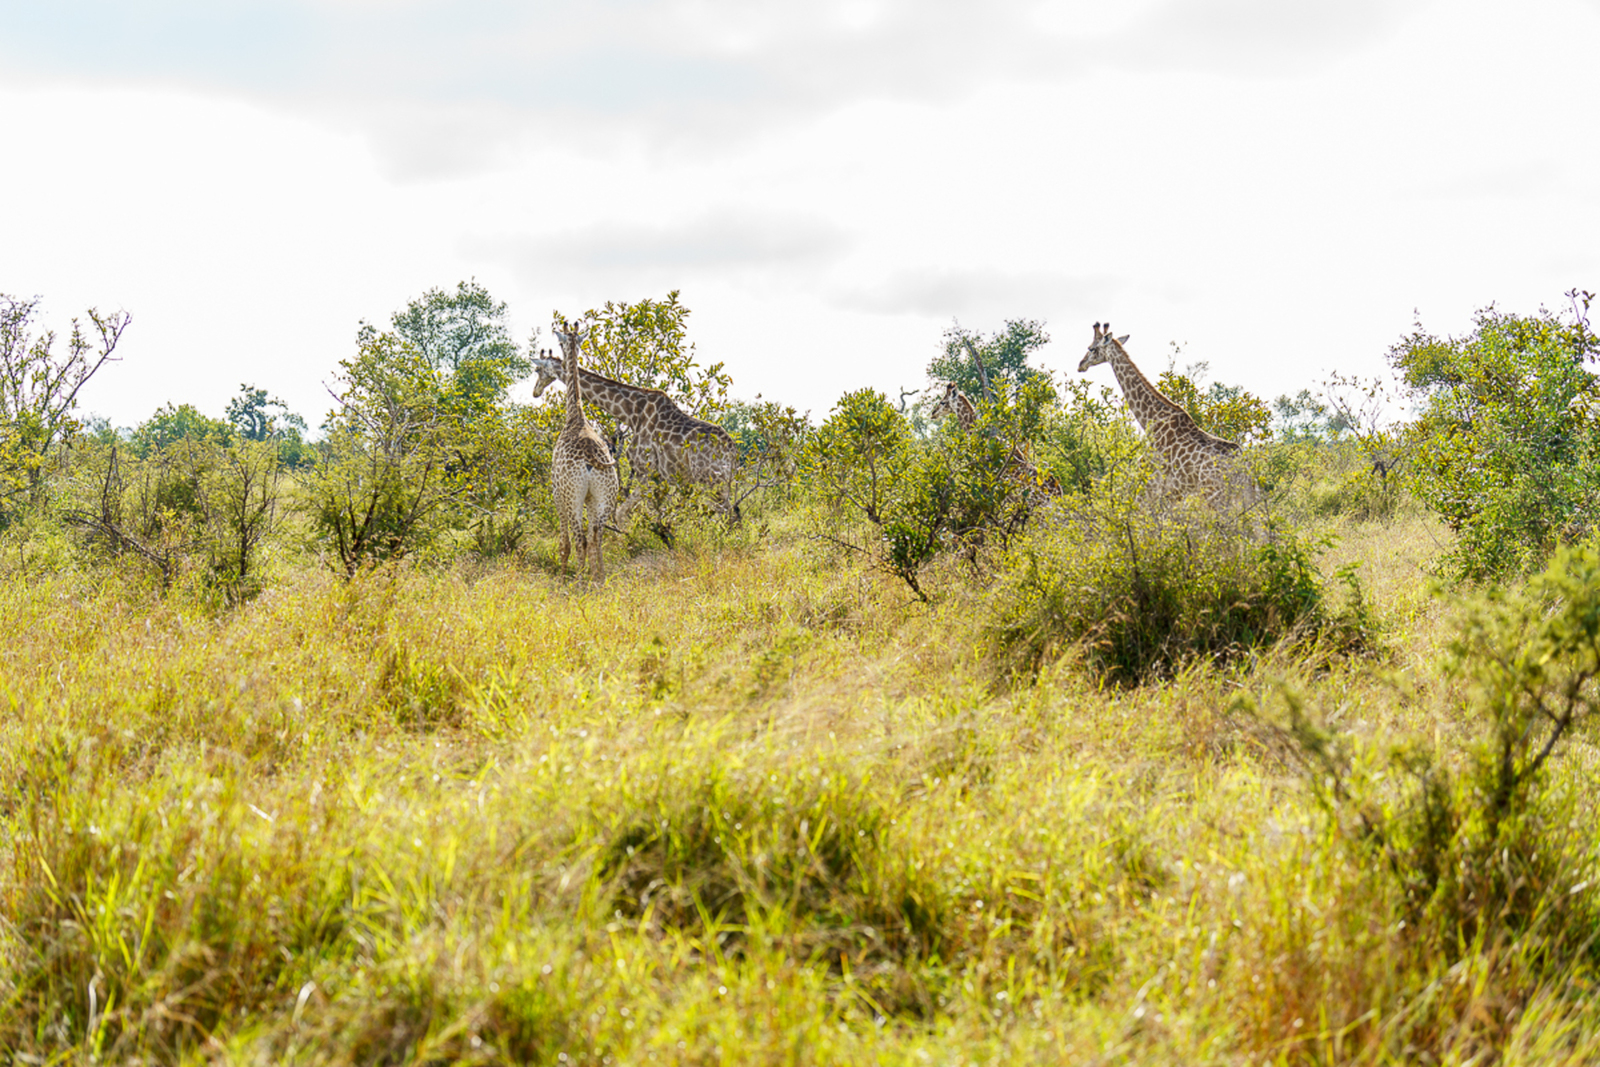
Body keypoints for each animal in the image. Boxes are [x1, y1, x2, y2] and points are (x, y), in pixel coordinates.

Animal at [530, 354, 739, 525]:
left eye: (538, 370)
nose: (535, 391)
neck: (631, 413)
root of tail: (731, 449)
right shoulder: (658, 477)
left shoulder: (645, 471)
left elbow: (624, 514)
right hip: (720, 481)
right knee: (732, 513)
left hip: (709, 479)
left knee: (726, 513)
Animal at [549, 324, 620, 581]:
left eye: (559, 342)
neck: (575, 415)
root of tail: (590, 460)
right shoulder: (590, 498)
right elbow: (593, 539)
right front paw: (595, 574)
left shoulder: (557, 494)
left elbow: (565, 543)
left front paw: (562, 578)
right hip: (605, 497)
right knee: (596, 536)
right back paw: (600, 580)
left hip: (573, 496)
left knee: (580, 538)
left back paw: (578, 582)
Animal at [1077, 322, 1256, 507]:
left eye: (1091, 348)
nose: (1080, 364)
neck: (1150, 419)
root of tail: (1244, 468)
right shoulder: (1171, 493)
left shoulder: (1152, 486)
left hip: (1215, 495)